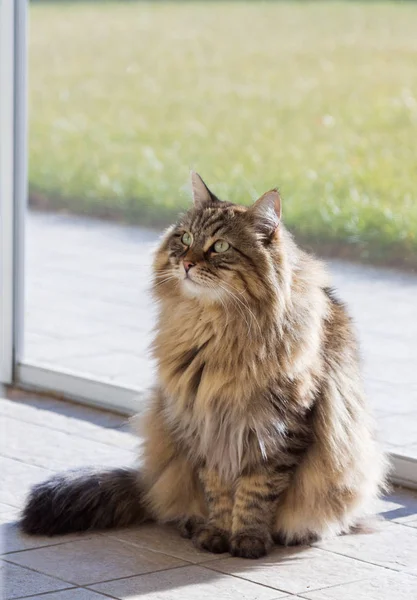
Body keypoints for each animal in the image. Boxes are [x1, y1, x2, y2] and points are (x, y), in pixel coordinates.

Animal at [20, 172, 386, 556]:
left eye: (220, 247)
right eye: (185, 238)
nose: (187, 263)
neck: (215, 331)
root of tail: (145, 480)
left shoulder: (280, 429)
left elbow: (257, 493)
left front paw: (248, 540)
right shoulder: (204, 424)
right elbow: (219, 492)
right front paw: (217, 534)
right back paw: (192, 524)